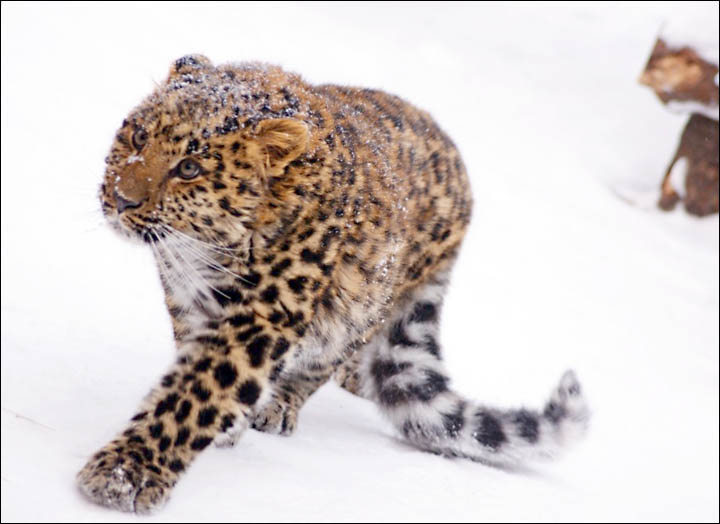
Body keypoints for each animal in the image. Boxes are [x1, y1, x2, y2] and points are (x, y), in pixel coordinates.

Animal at [76, 55, 588, 512]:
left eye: (189, 168)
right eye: (139, 135)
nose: (120, 199)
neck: (205, 249)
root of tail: (462, 178)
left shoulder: (264, 316)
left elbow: (197, 394)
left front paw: (125, 475)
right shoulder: (188, 301)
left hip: (362, 311)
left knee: (322, 362)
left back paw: (284, 404)